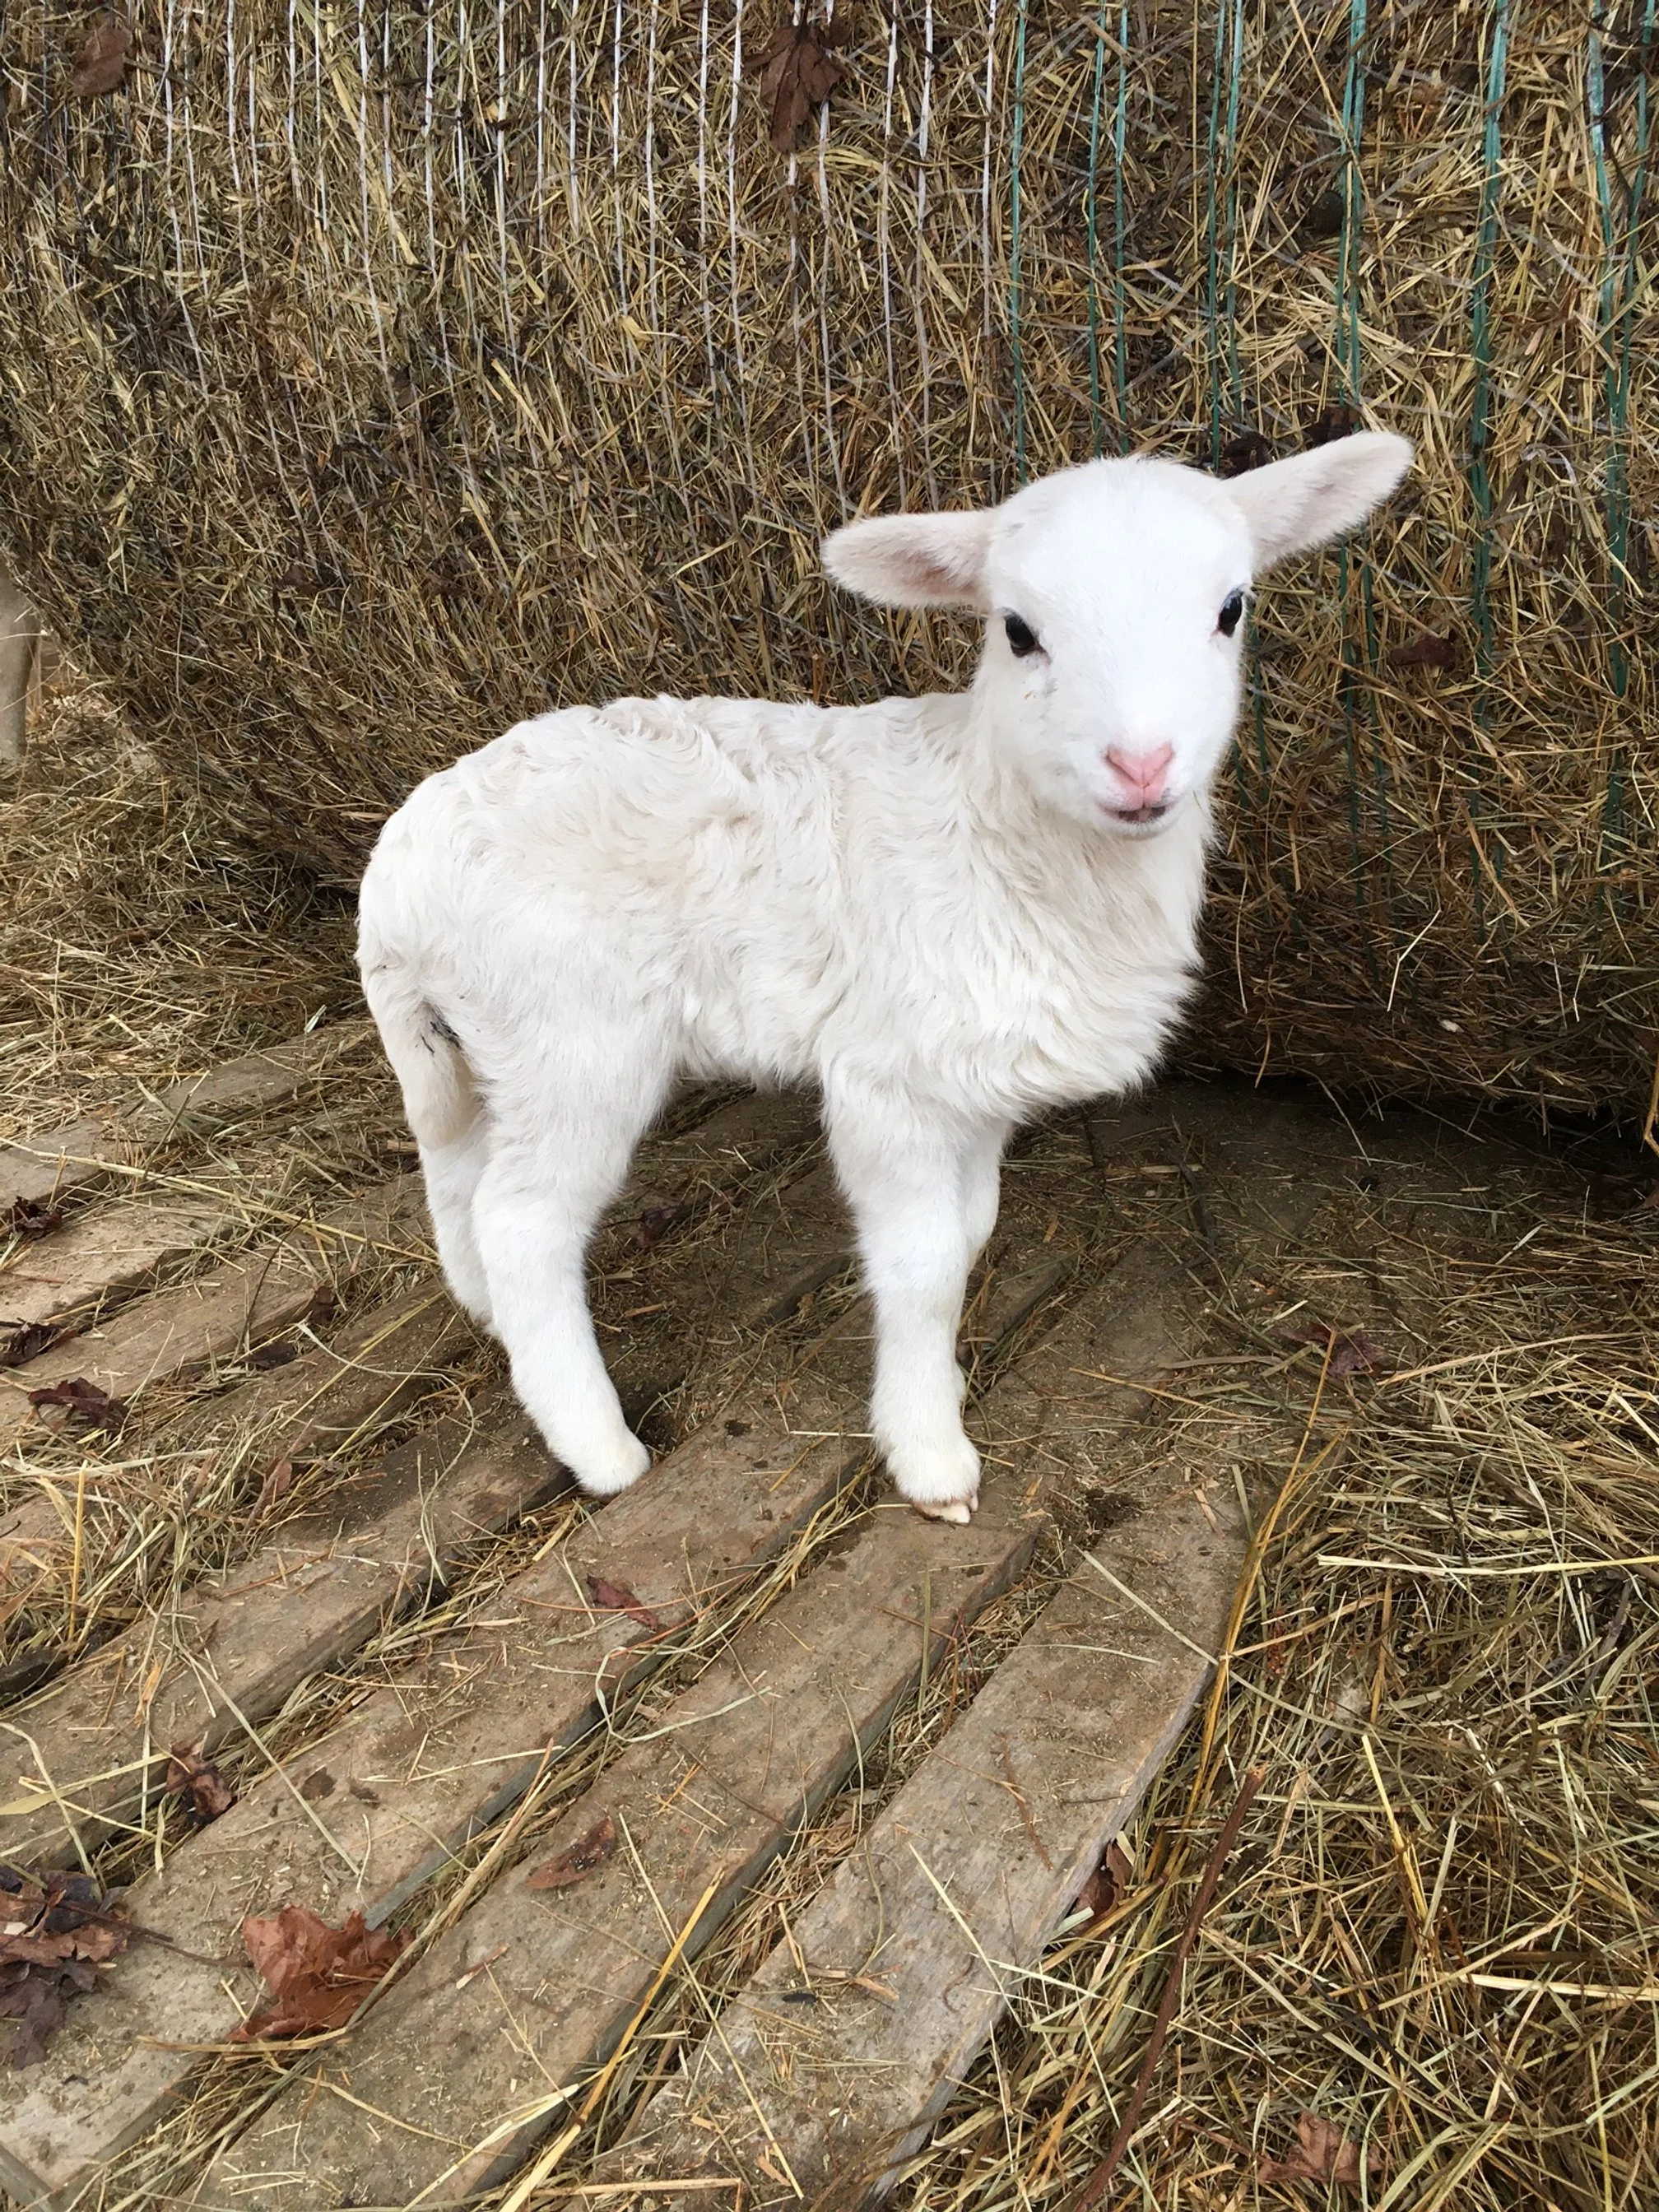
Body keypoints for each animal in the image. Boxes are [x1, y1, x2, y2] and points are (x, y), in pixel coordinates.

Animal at [358, 432, 1410, 1523]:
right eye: (1018, 631)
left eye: (1231, 609)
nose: (1142, 766)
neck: (996, 825)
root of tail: (397, 875)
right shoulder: (885, 1080)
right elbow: (925, 1265)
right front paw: (929, 1452)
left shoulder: (979, 1076)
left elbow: (974, 1227)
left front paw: (939, 1383)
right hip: (575, 1037)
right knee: (525, 1223)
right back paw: (600, 1446)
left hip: (474, 1038)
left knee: (458, 1170)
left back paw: (484, 1314)